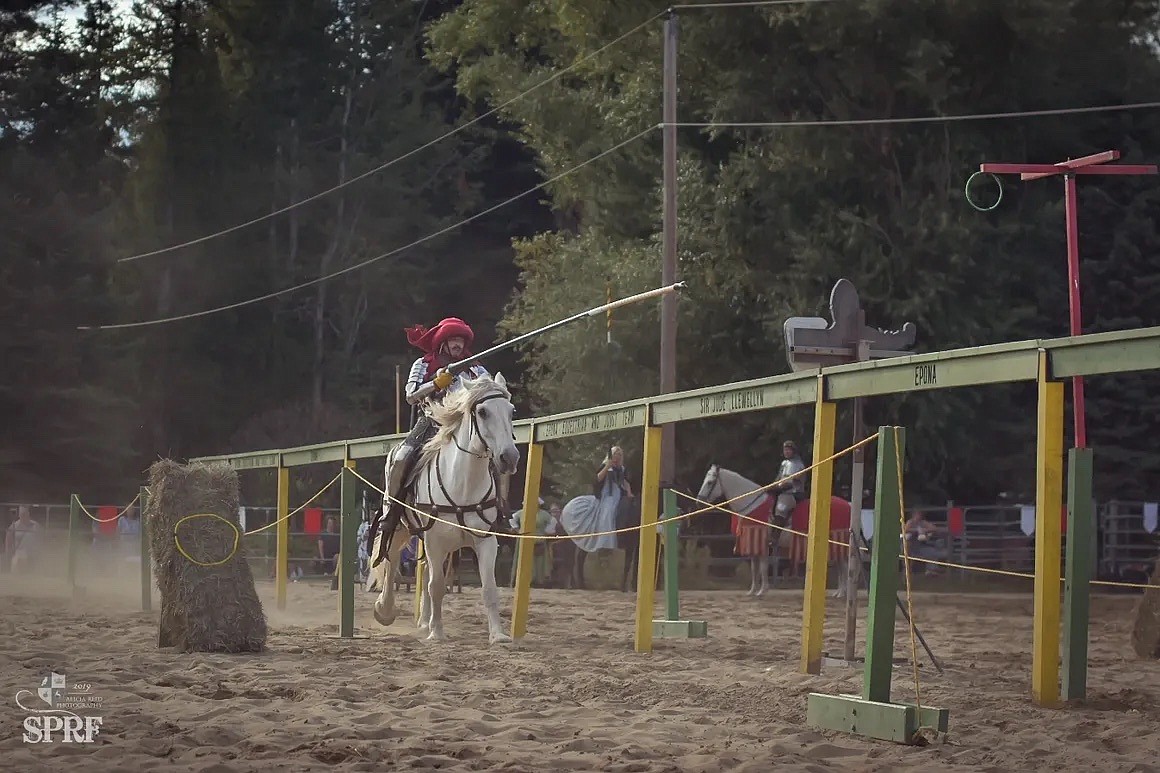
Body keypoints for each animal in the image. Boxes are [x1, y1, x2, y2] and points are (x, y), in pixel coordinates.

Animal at [368, 371, 519, 636]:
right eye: (482, 412)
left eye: (511, 411)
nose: (509, 458)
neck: (463, 484)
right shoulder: (434, 539)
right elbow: (436, 586)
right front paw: (437, 633)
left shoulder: (485, 540)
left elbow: (489, 589)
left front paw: (498, 635)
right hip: (401, 525)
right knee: (393, 557)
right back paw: (385, 610)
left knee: (427, 569)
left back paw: (424, 621)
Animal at [696, 464, 788, 594]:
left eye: (709, 482)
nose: (698, 502)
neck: (753, 506)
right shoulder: (752, 544)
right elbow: (754, 567)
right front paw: (753, 591)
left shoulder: (760, 542)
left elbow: (763, 566)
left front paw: (763, 590)